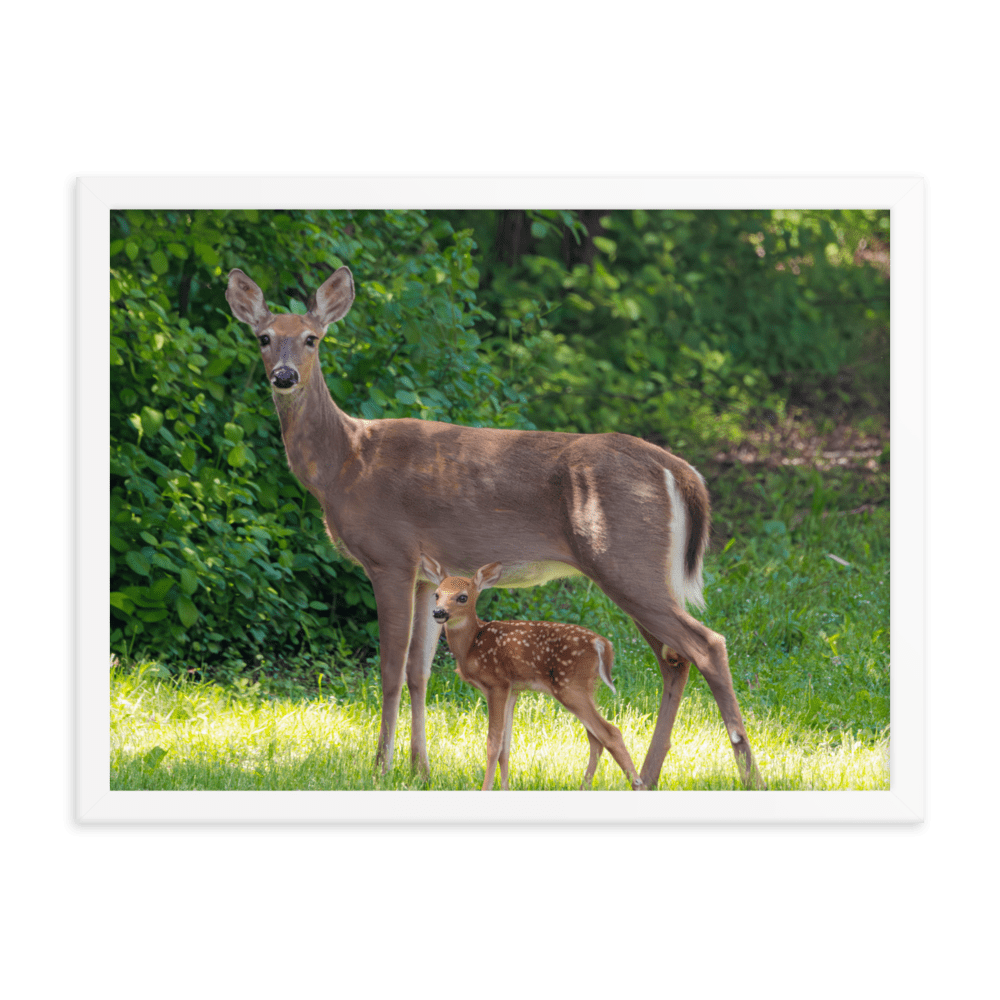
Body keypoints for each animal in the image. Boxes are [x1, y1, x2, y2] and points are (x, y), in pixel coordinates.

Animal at [229, 264, 764, 788]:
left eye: (312, 338)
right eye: (263, 337)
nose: (283, 376)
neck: (345, 462)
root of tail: (679, 469)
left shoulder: (390, 557)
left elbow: (390, 669)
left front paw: (380, 768)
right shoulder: (425, 576)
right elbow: (420, 671)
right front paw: (419, 769)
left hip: (626, 560)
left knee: (707, 645)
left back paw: (748, 775)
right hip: (636, 570)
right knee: (675, 660)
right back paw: (649, 777)